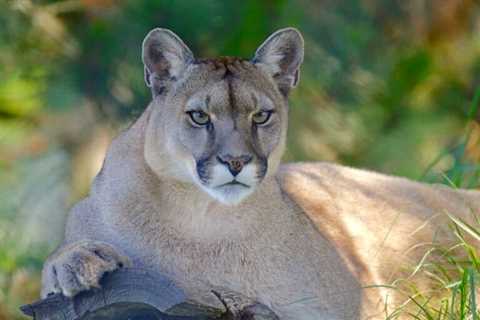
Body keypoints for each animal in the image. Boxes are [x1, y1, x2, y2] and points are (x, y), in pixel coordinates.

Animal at [41, 28, 480, 320]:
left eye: (261, 115)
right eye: (199, 116)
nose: (236, 161)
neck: (200, 221)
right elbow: (53, 261)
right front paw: (80, 261)